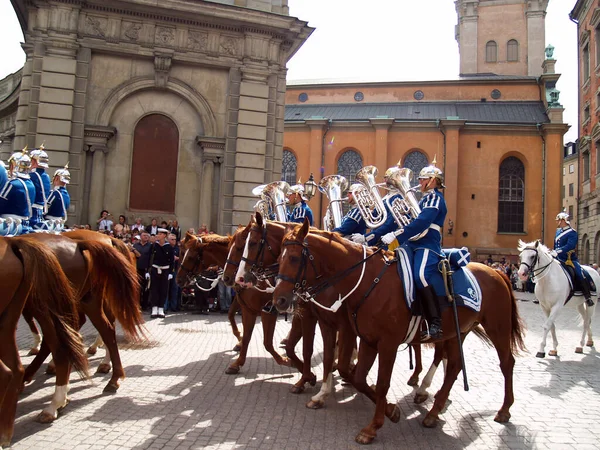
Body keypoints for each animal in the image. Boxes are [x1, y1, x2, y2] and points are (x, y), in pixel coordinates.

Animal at [175, 232, 296, 376]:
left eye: (190, 256)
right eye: (182, 252)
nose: (178, 280)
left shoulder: (267, 312)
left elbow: (267, 341)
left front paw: (284, 359)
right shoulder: (244, 304)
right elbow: (233, 318)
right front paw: (239, 346)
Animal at [274, 220, 528, 444]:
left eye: (294, 258)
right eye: (279, 258)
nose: (279, 300)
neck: (367, 281)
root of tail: (496, 272)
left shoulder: (385, 343)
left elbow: (380, 382)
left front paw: (372, 427)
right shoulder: (366, 339)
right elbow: (357, 376)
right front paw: (390, 410)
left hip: (497, 328)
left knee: (506, 363)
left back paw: (503, 409)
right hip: (458, 332)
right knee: (454, 366)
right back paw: (433, 411)